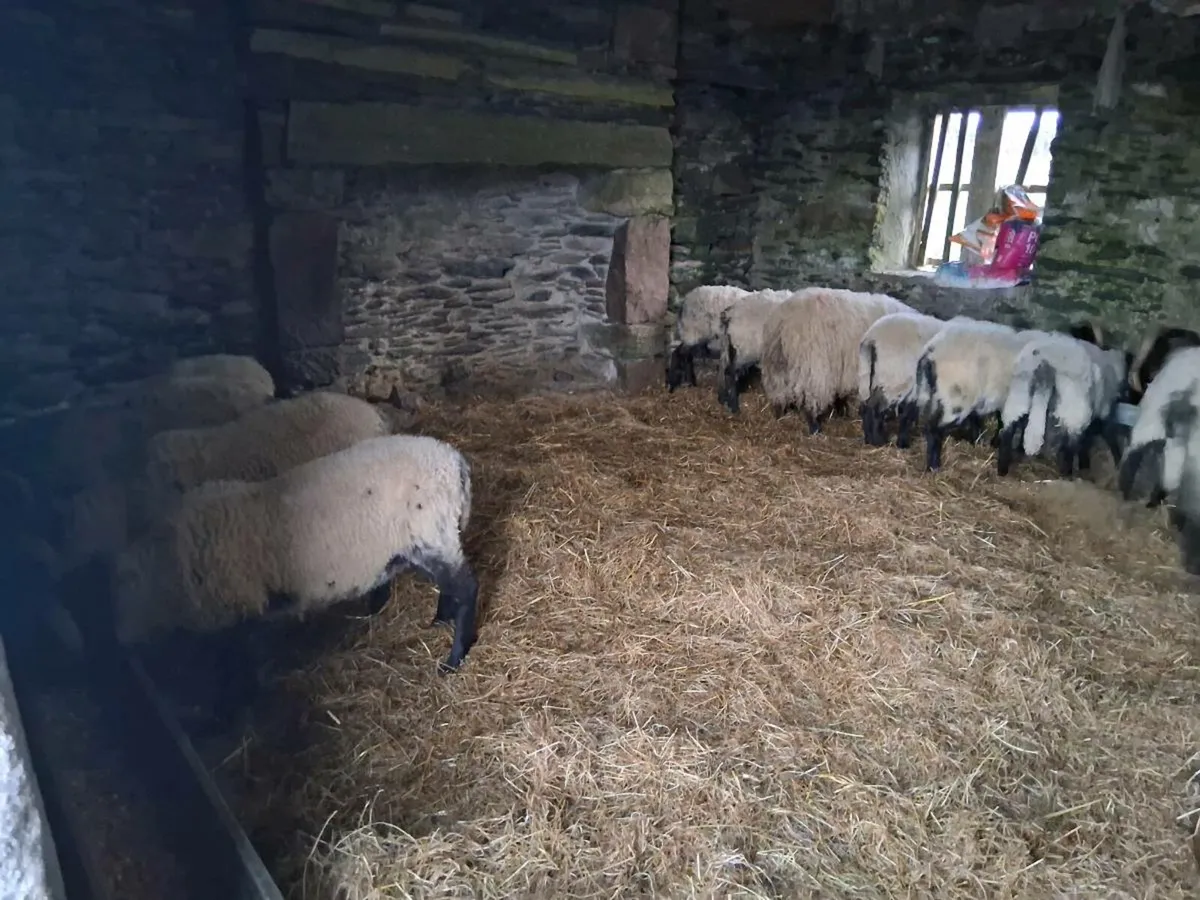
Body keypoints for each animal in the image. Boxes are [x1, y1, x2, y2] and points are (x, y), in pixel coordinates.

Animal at [102, 433, 479, 676]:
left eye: (124, 586)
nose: (119, 640)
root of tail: (453, 459)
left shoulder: (246, 606)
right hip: (426, 539)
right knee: (450, 584)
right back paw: (440, 618)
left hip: (431, 532)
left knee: (467, 587)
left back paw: (453, 658)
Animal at [759, 287, 914, 433]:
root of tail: (783, 321)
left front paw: (842, 410)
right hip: (814, 367)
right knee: (812, 401)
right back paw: (815, 428)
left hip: (776, 365)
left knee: (778, 391)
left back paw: (779, 415)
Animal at [856, 311, 946, 447]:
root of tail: (871, 338)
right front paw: (903, 443)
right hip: (896, 378)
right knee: (876, 408)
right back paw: (878, 441)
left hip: (873, 375)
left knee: (866, 405)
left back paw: (868, 438)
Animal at [996, 330, 1128, 478]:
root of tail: (1045, 363)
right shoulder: (1103, 410)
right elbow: (1103, 435)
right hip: (1074, 405)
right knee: (1071, 443)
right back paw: (1067, 474)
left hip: (1020, 392)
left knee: (1008, 429)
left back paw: (1002, 469)